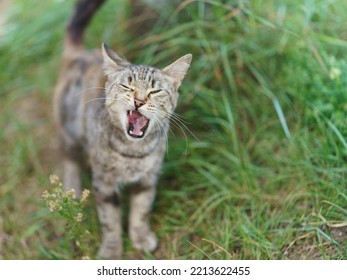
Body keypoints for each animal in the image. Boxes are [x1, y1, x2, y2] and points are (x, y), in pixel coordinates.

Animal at [53, 0, 193, 260]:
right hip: (70, 129)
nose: (138, 101)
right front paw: (111, 248)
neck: (133, 153)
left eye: (154, 91)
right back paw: (71, 189)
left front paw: (140, 237)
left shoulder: (148, 178)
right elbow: (110, 218)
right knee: (69, 158)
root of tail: (79, 54)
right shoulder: (104, 181)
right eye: (128, 87)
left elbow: (141, 210)